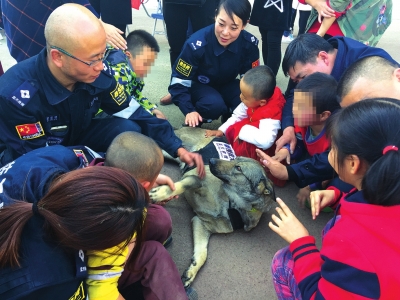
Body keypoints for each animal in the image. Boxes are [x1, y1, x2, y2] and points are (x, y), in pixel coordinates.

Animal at [148, 127, 276, 288]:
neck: (231, 203)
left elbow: (203, 253)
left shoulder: (201, 223)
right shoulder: (195, 178)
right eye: (234, 159)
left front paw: (192, 271)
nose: (210, 160)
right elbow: (185, 183)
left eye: (238, 168)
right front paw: (161, 193)